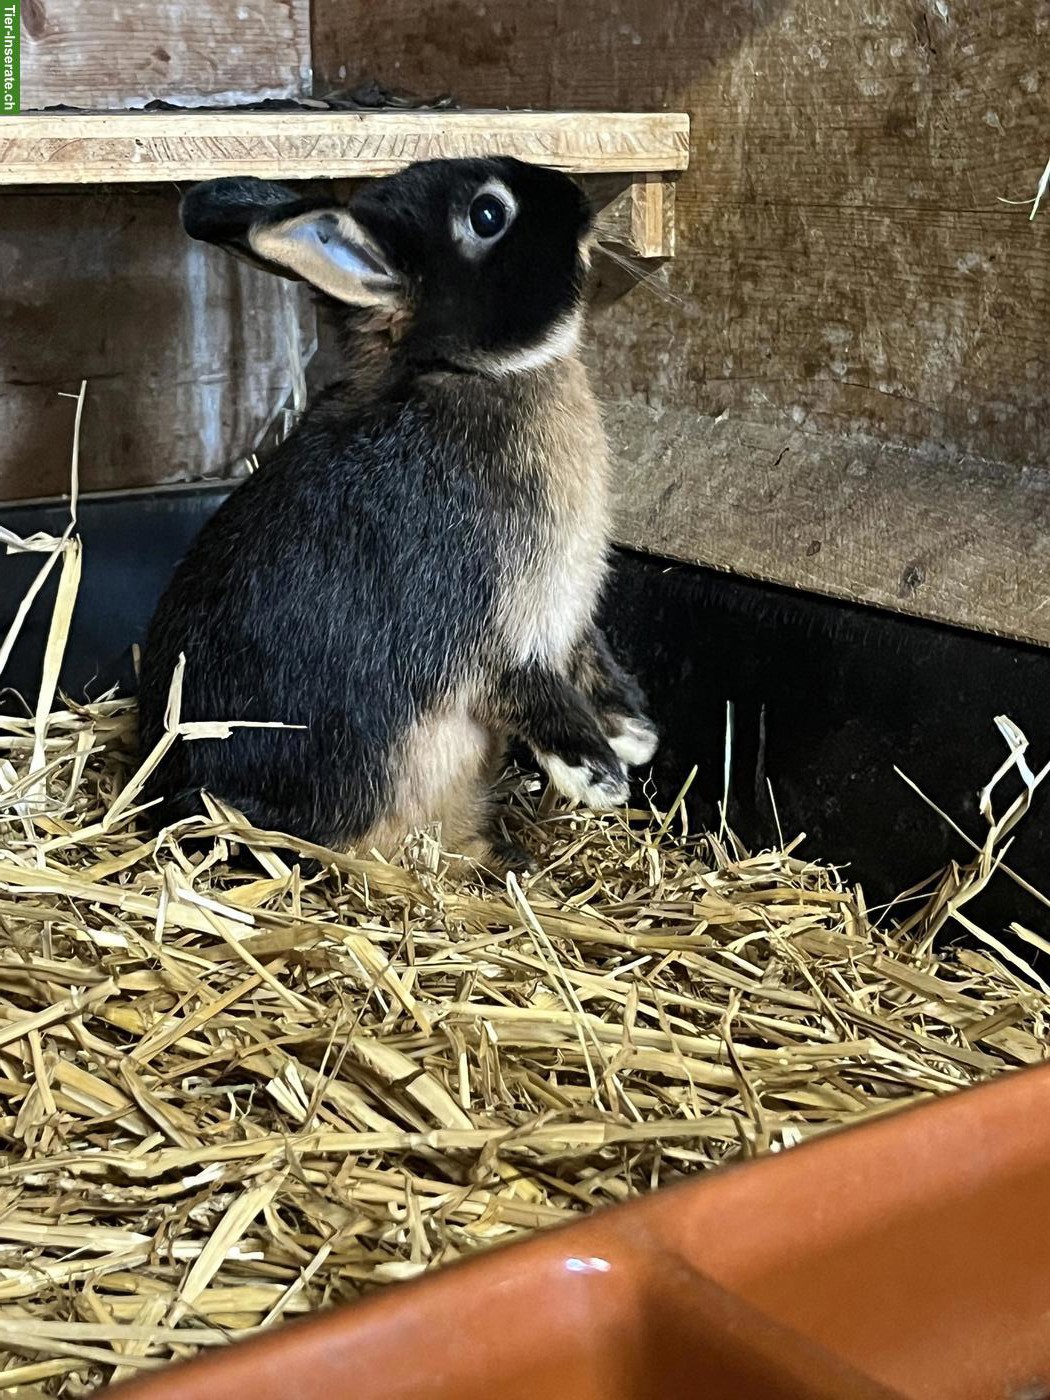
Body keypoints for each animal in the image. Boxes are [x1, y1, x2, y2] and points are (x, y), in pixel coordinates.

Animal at [137, 156, 658, 872]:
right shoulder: (489, 630)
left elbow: (589, 660)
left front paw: (635, 734)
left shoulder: (565, 621)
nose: (578, 198)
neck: (464, 373)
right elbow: (529, 693)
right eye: (488, 215)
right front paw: (600, 774)